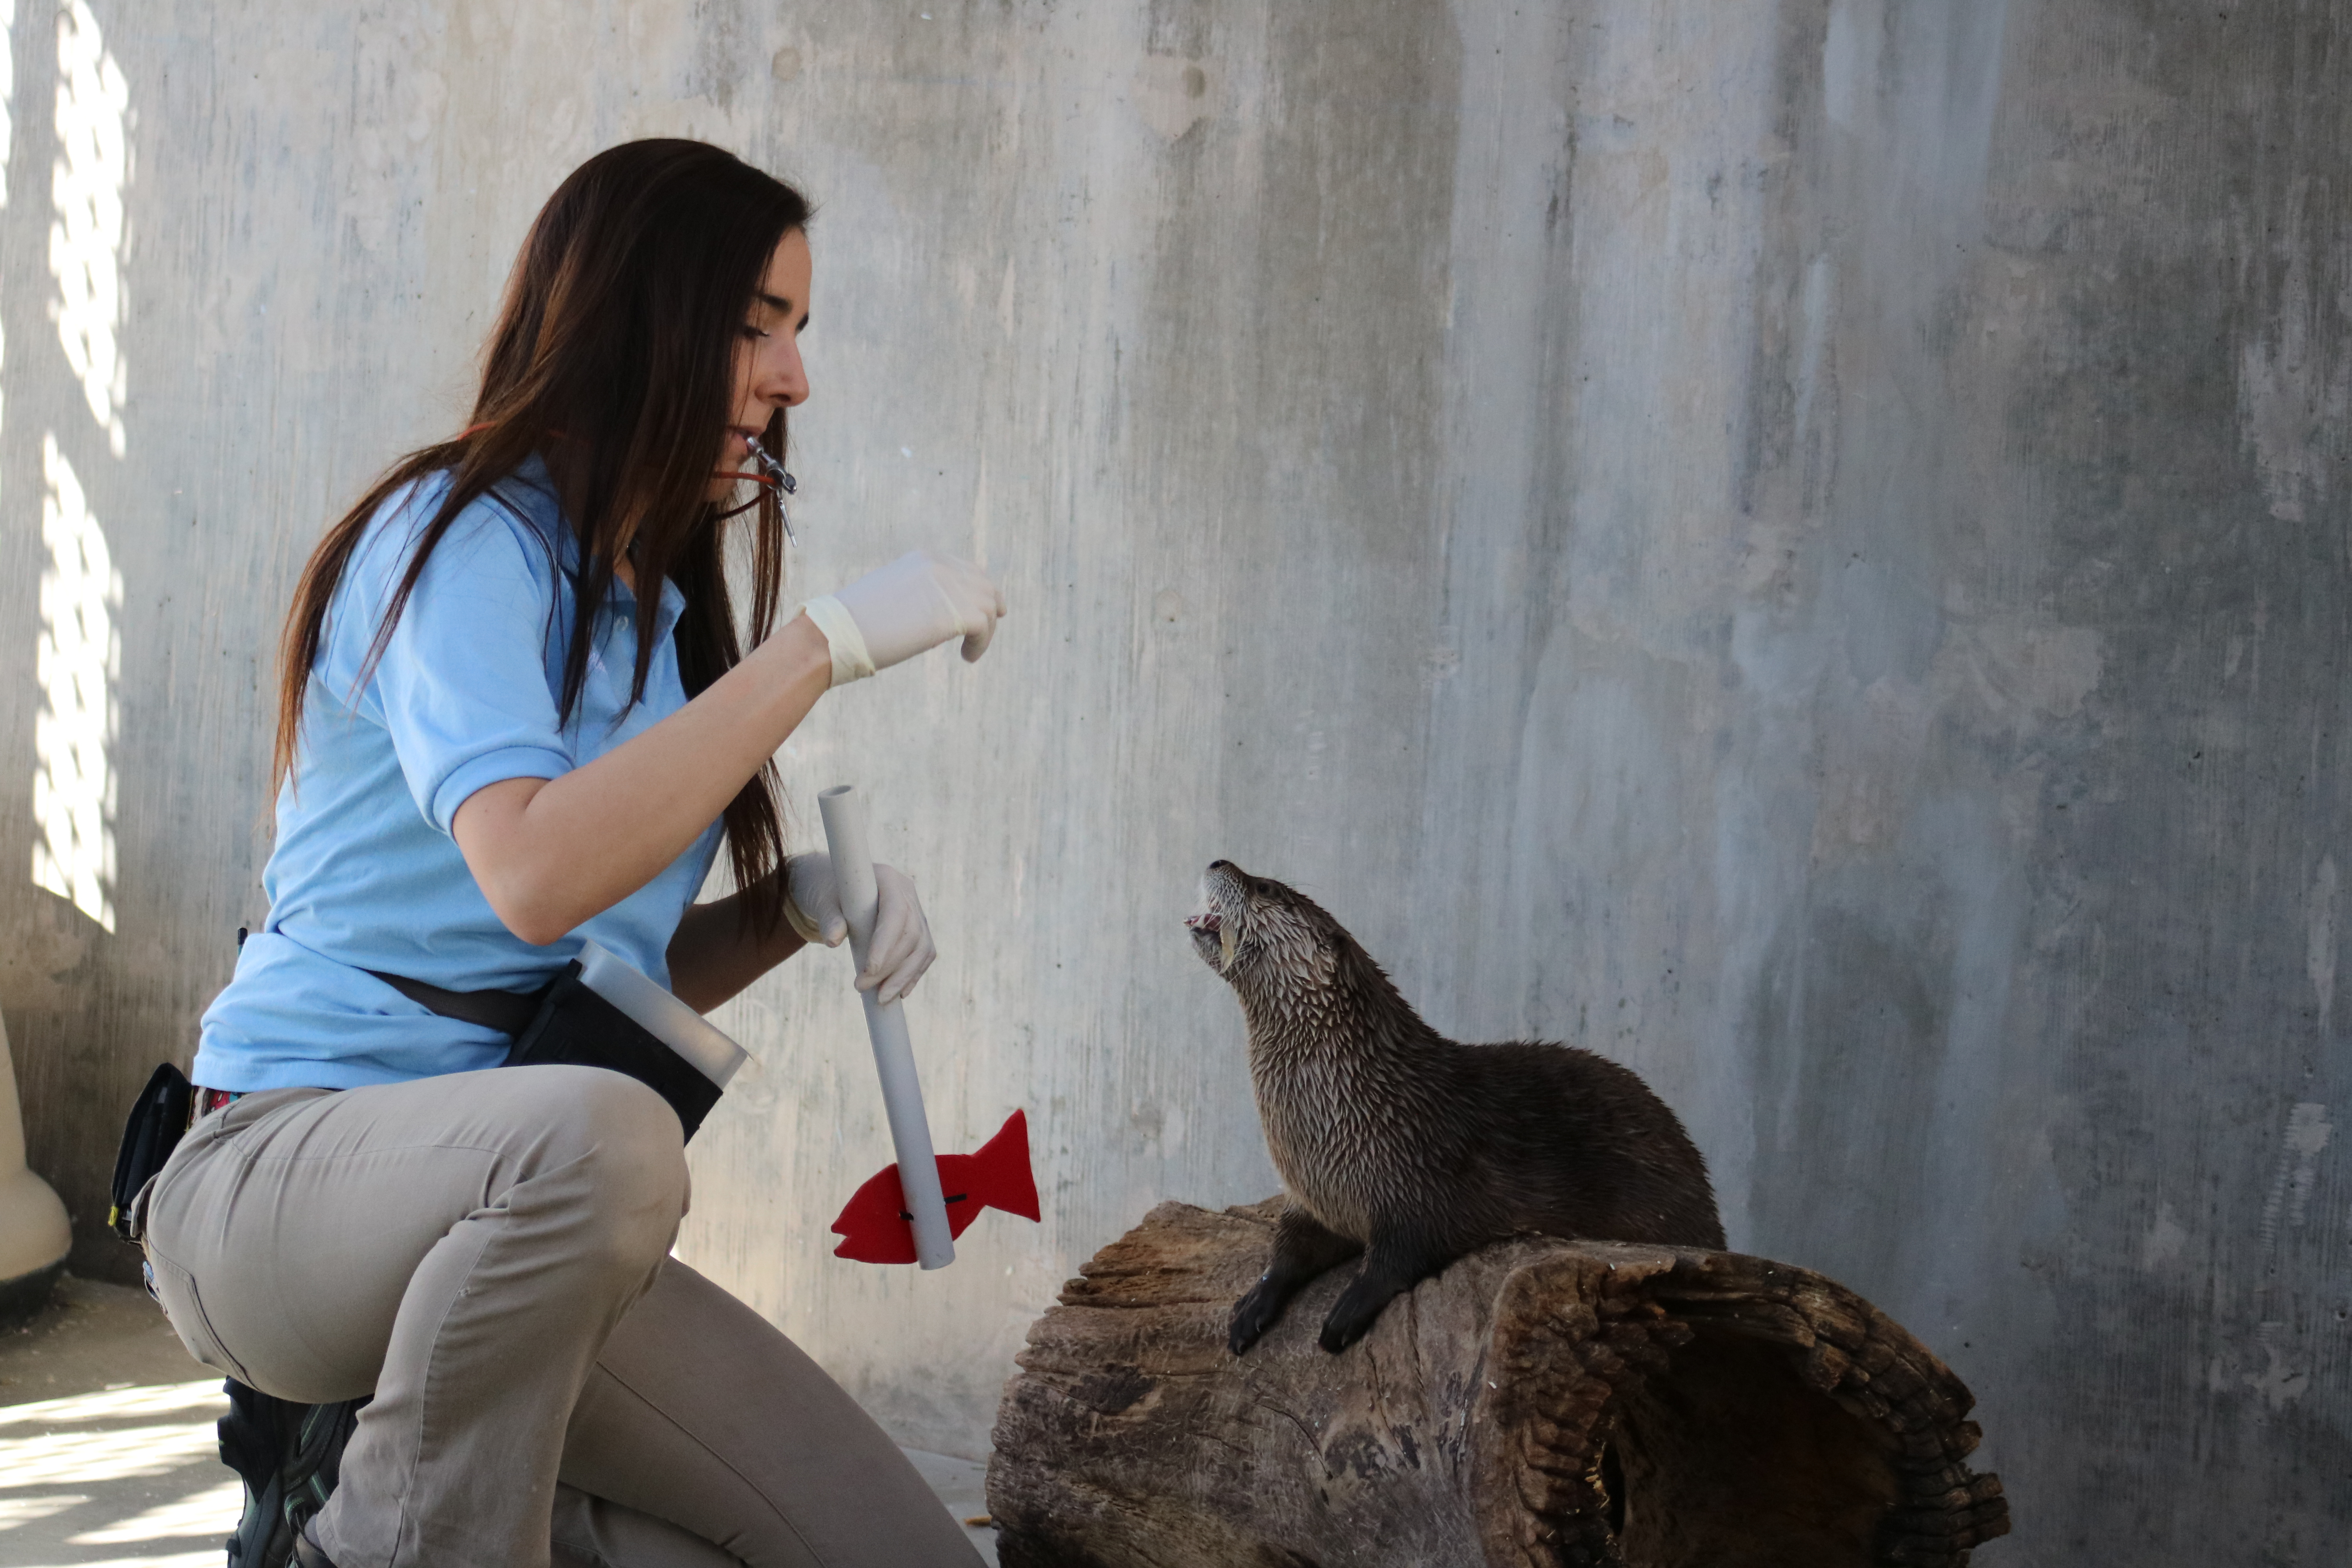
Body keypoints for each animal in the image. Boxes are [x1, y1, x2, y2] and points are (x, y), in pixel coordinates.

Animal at [1188, 860, 1724, 1355]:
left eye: (1265, 887)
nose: (1218, 862)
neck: (1360, 1100)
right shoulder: (1314, 1196)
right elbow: (1288, 1249)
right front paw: (1252, 1306)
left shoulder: (1421, 1184)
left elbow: (1404, 1252)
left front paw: (1348, 1310)